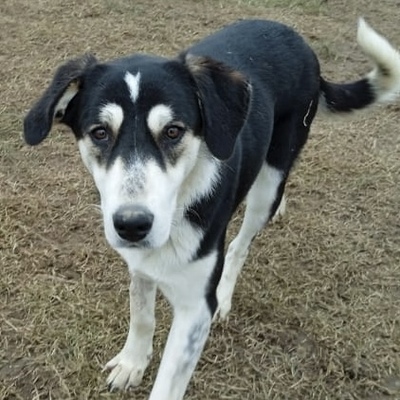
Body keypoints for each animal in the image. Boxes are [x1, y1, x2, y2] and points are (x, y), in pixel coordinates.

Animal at [24, 18, 400, 400]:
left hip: (269, 182)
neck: (179, 206)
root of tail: (296, 39)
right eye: (100, 132)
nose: (132, 225)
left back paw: (228, 287)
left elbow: (167, 385)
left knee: (241, 242)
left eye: (173, 131)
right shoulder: (140, 263)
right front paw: (133, 362)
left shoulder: (195, 309)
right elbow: (141, 312)